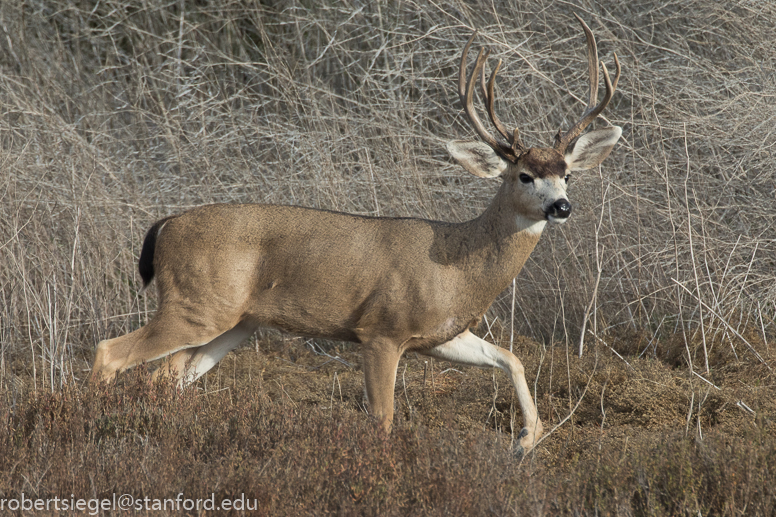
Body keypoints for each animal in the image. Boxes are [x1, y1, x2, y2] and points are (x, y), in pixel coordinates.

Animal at [91, 14, 620, 454]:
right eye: (524, 176)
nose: (561, 206)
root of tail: (165, 225)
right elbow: (382, 418)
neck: (457, 263)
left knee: (166, 377)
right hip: (195, 303)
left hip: (232, 321)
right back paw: (94, 426)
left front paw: (525, 441)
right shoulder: (381, 329)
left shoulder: (441, 334)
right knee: (110, 353)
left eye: (567, 174)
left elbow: (511, 358)